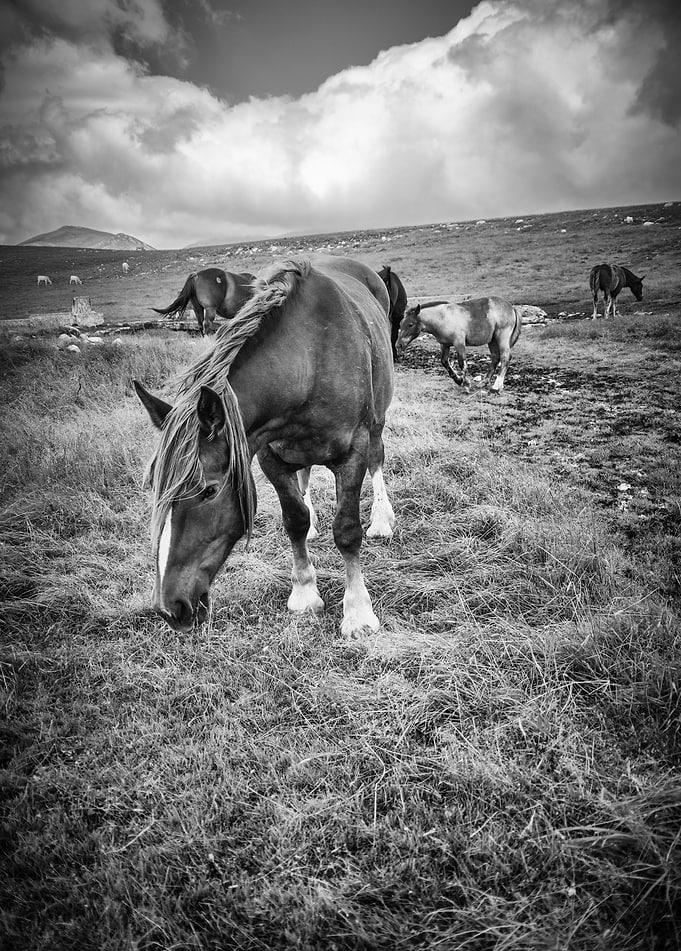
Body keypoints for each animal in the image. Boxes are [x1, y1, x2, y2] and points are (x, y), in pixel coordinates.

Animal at [134, 256, 396, 637]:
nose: (170, 608)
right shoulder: (270, 456)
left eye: (209, 490)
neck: (308, 360)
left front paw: (358, 613)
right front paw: (305, 593)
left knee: (378, 460)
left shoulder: (353, 454)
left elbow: (347, 532)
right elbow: (294, 520)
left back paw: (382, 519)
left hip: (377, 421)